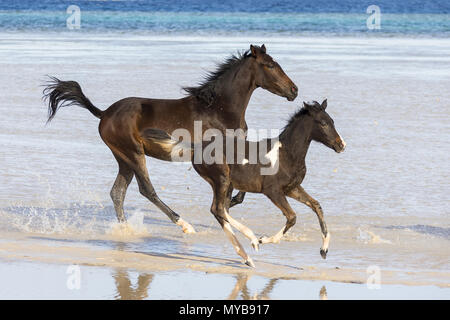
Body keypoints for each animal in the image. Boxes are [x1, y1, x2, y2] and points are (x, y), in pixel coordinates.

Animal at [41, 44, 296, 235]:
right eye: (270, 65)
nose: (294, 90)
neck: (219, 109)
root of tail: (104, 113)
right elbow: (234, 191)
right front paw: (224, 210)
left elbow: (239, 192)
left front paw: (227, 209)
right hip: (133, 153)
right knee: (146, 190)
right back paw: (184, 225)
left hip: (123, 157)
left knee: (117, 192)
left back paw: (125, 229)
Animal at [144, 100, 344, 268]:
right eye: (323, 123)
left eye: (332, 121)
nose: (341, 145)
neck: (287, 154)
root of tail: (198, 147)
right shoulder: (273, 191)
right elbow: (292, 216)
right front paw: (263, 239)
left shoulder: (292, 188)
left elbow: (316, 206)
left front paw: (324, 250)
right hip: (222, 179)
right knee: (218, 209)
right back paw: (253, 241)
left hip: (225, 184)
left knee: (219, 210)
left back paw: (247, 257)